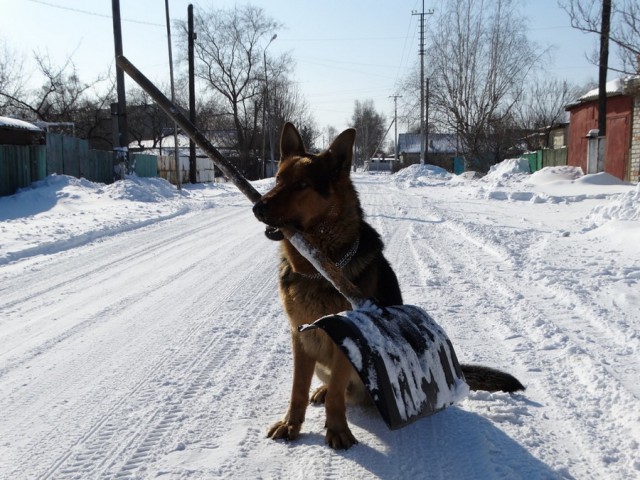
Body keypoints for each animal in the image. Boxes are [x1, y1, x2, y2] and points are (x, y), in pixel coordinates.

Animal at [251, 122, 524, 448]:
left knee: (343, 391)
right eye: (278, 179)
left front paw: (337, 428)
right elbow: (297, 390)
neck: (319, 268)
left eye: (302, 185)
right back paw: (321, 390)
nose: (257, 208)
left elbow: (336, 395)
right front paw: (292, 424)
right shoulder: (300, 337)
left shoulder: (345, 339)